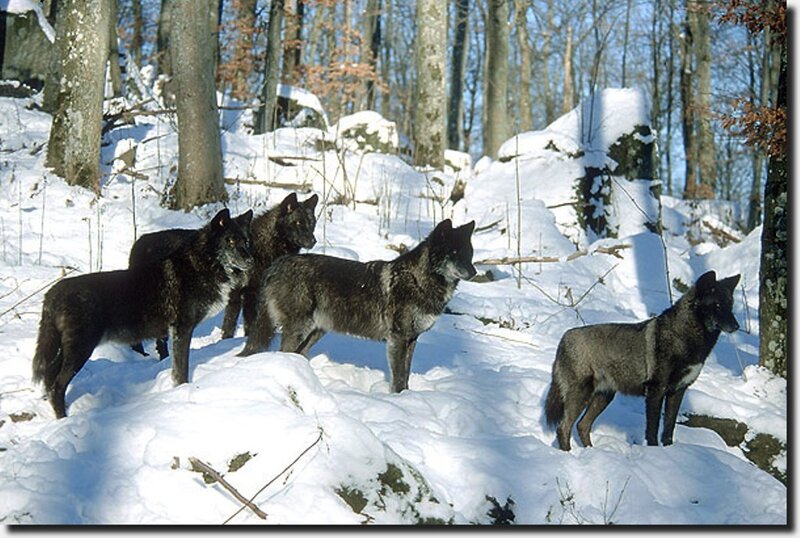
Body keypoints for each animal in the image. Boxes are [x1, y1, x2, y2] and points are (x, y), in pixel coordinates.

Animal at [32, 208, 254, 418]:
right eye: (230, 240)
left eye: (246, 241)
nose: (251, 260)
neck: (201, 266)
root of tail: (52, 293)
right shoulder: (182, 330)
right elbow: (181, 370)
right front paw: (182, 390)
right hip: (80, 350)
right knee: (57, 386)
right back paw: (63, 419)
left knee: (50, 383)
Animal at [128, 192, 318, 356]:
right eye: (298, 223)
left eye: (312, 223)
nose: (313, 241)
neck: (263, 246)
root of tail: (139, 242)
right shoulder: (249, 295)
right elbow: (246, 325)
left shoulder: (236, 296)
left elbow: (230, 326)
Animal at [239, 219, 477, 393]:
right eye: (454, 253)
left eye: (469, 253)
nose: (474, 272)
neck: (418, 280)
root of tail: (276, 265)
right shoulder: (398, 339)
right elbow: (399, 378)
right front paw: (400, 400)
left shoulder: (412, 339)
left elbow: (406, 376)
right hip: (300, 329)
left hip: (315, 332)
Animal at [544, 270, 740, 450]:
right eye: (716, 305)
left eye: (730, 305)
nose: (737, 326)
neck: (684, 337)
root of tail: (565, 337)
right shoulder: (656, 391)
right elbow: (652, 430)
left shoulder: (677, 391)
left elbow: (668, 430)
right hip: (581, 395)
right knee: (564, 428)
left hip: (604, 397)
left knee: (582, 425)